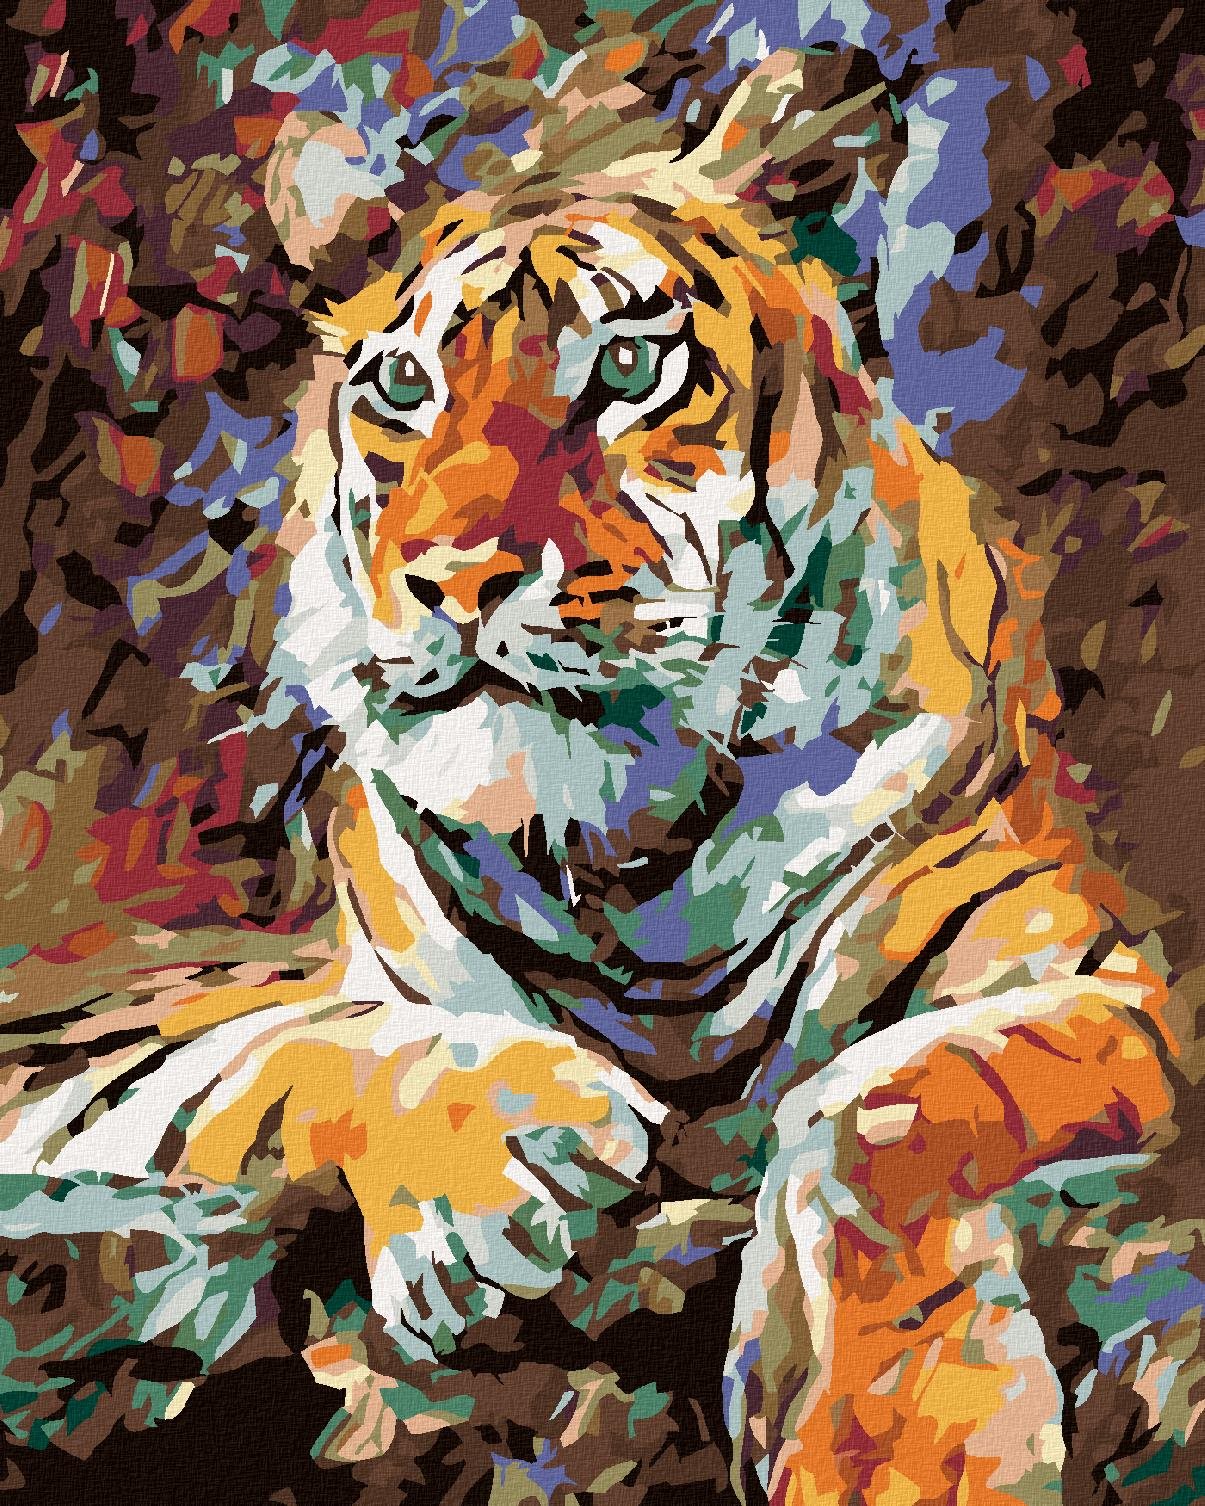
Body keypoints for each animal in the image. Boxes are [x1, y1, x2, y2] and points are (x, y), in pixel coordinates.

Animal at [0, 36, 1177, 1505]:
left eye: (623, 367)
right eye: (403, 389)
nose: (454, 578)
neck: (633, 863)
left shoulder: (1105, 985)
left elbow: (892, 1100)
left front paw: (901, 1445)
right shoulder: (123, 1067)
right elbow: (295, 1053)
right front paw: (499, 1162)